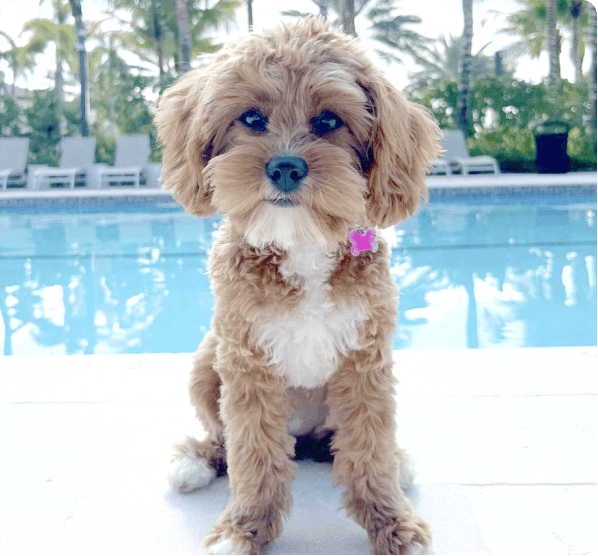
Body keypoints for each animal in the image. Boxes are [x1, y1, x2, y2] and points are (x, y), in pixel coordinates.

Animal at [155, 15, 442, 552]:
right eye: (251, 118)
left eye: (328, 121)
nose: (285, 166)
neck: (301, 242)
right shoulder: (246, 365)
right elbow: (251, 456)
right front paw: (243, 528)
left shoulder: (366, 363)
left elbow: (369, 451)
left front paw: (392, 522)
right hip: (206, 363)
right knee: (221, 439)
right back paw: (196, 462)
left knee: (344, 446)